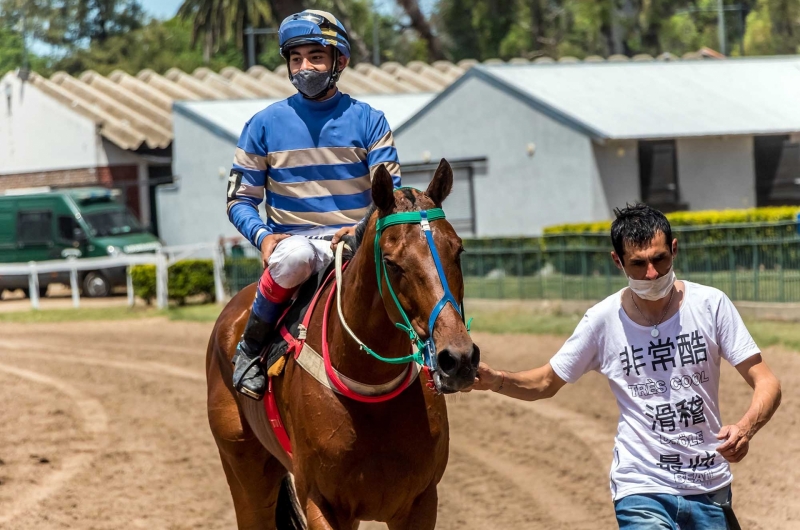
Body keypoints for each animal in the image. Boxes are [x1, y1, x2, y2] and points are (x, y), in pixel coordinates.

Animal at [208, 159, 482, 524]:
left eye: (458, 250)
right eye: (391, 263)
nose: (458, 358)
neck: (371, 388)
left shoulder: (420, 501)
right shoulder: (321, 501)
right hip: (244, 474)